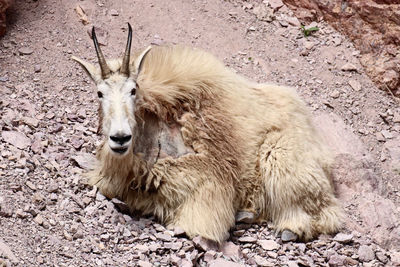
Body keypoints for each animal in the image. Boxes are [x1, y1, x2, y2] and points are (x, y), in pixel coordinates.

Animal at [72, 24, 340, 244]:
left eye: (133, 90)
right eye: (99, 93)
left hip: (280, 156)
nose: (120, 138)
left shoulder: (210, 180)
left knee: (325, 212)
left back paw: (290, 229)